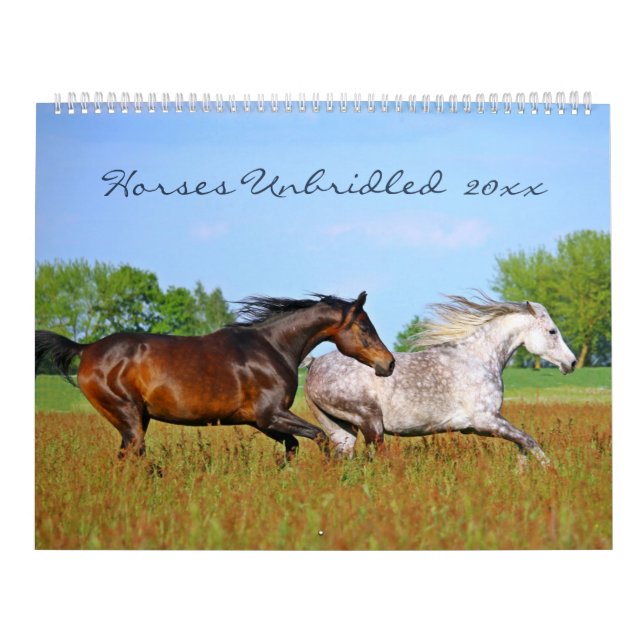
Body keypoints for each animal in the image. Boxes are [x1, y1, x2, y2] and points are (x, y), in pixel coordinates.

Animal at [35, 292, 395, 461]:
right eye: (365, 327)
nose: (388, 363)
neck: (273, 347)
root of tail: (87, 348)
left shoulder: (259, 420)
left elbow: (292, 446)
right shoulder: (271, 414)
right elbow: (319, 437)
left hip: (137, 418)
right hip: (128, 416)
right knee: (133, 455)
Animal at [304, 294, 577, 467]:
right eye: (552, 331)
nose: (572, 362)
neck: (479, 358)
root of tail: (313, 364)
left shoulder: (480, 425)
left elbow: (522, 443)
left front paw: (521, 473)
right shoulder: (485, 420)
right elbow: (528, 440)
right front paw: (550, 472)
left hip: (342, 430)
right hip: (370, 421)